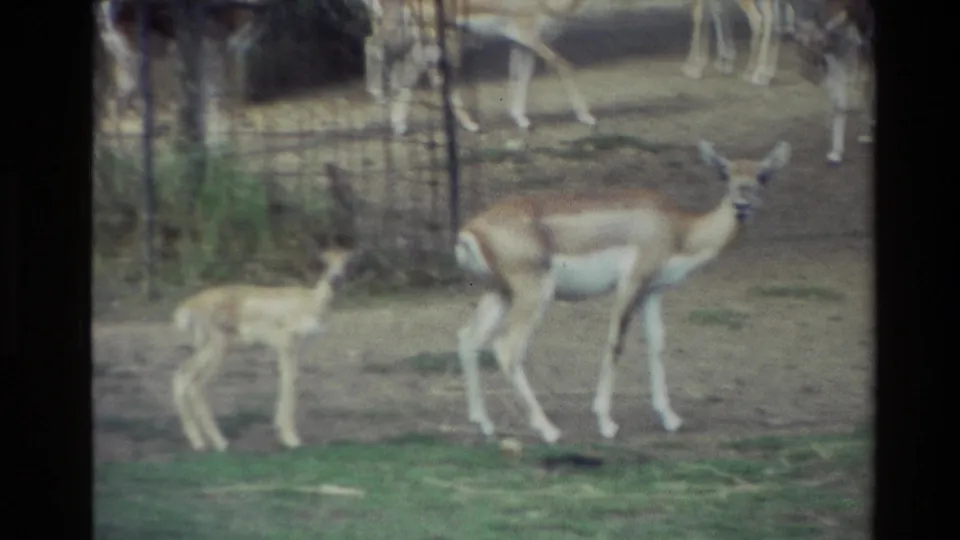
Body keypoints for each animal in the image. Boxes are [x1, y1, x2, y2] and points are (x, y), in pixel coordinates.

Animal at [171, 248, 355, 452]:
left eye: (346, 261)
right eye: (326, 261)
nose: (336, 279)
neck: (309, 301)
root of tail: (188, 305)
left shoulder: (293, 348)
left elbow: (288, 378)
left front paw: (282, 432)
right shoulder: (286, 343)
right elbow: (290, 379)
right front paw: (291, 439)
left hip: (204, 348)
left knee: (181, 376)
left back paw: (199, 442)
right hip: (217, 349)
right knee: (196, 384)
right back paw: (221, 443)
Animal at [361, 0, 596, 136]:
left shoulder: (521, 44)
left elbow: (520, 77)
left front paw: (521, 119)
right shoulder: (532, 38)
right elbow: (564, 66)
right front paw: (587, 117)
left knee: (406, 71)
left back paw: (399, 124)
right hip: (438, 41)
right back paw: (470, 125)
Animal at [453, 139, 791, 443]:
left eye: (762, 176)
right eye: (726, 174)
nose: (742, 206)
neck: (679, 229)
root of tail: (470, 230)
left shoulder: (652, 291)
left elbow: (657, 344)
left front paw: (670, 418)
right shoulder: (630, 283)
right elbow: (616, 342)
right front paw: (606, 421)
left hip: (500, 292)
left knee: (469, 338)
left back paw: (484, 424)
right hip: (533, 293)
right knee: (507, 348)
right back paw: (548, 430)